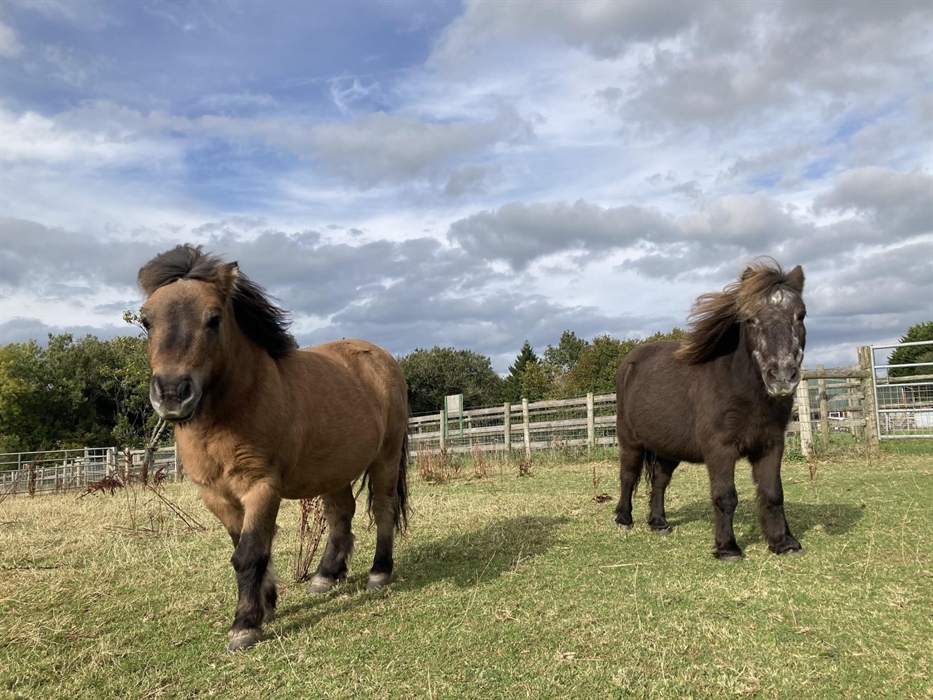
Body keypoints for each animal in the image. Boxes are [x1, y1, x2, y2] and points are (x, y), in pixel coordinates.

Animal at [137, 244, 410, 652]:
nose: (171, 393)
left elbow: (249, 553)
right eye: (146, 322)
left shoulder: (261, 487)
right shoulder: (217, 496)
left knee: (383, 510)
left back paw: (379, 572)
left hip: (386, 459)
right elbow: (246, 547)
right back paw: (325, 576)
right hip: (334, 471)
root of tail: (384, 359)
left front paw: (245, 625)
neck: (237, 406)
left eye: (214, 319)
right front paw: (266, 605)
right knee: (341, 515)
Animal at [614, 259, 807, 560]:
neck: (739, 387)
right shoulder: (720, 449)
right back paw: (624, 519)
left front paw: (784, 542)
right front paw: (727, 548)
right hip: (630, 441)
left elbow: (774, 494)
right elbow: (725, 496)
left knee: (659, 481)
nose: (783, 376)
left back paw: (659, 522)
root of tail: (629, 362)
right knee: (628, 475)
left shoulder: (771, 445)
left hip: (668, 448)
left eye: (801, 315)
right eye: (750, 319)